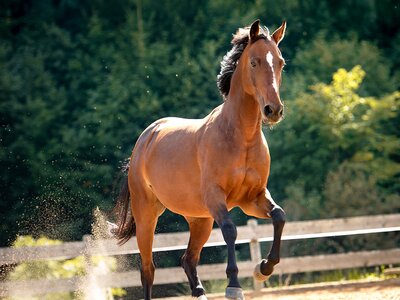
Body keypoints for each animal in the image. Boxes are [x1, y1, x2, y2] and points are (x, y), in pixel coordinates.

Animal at [112, 19, 288, 298]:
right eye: (254, 62)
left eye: (280, 62)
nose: (274, 110)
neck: (241, 137)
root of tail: (146, 137)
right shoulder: (217, 198)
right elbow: (230, 230)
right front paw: (234, 285)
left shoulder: (252, 199)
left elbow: (279, 216)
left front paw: (263, 268)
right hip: (146, 215)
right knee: (148, 269)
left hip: (199, 219)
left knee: (188, 259)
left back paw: (200, 291)